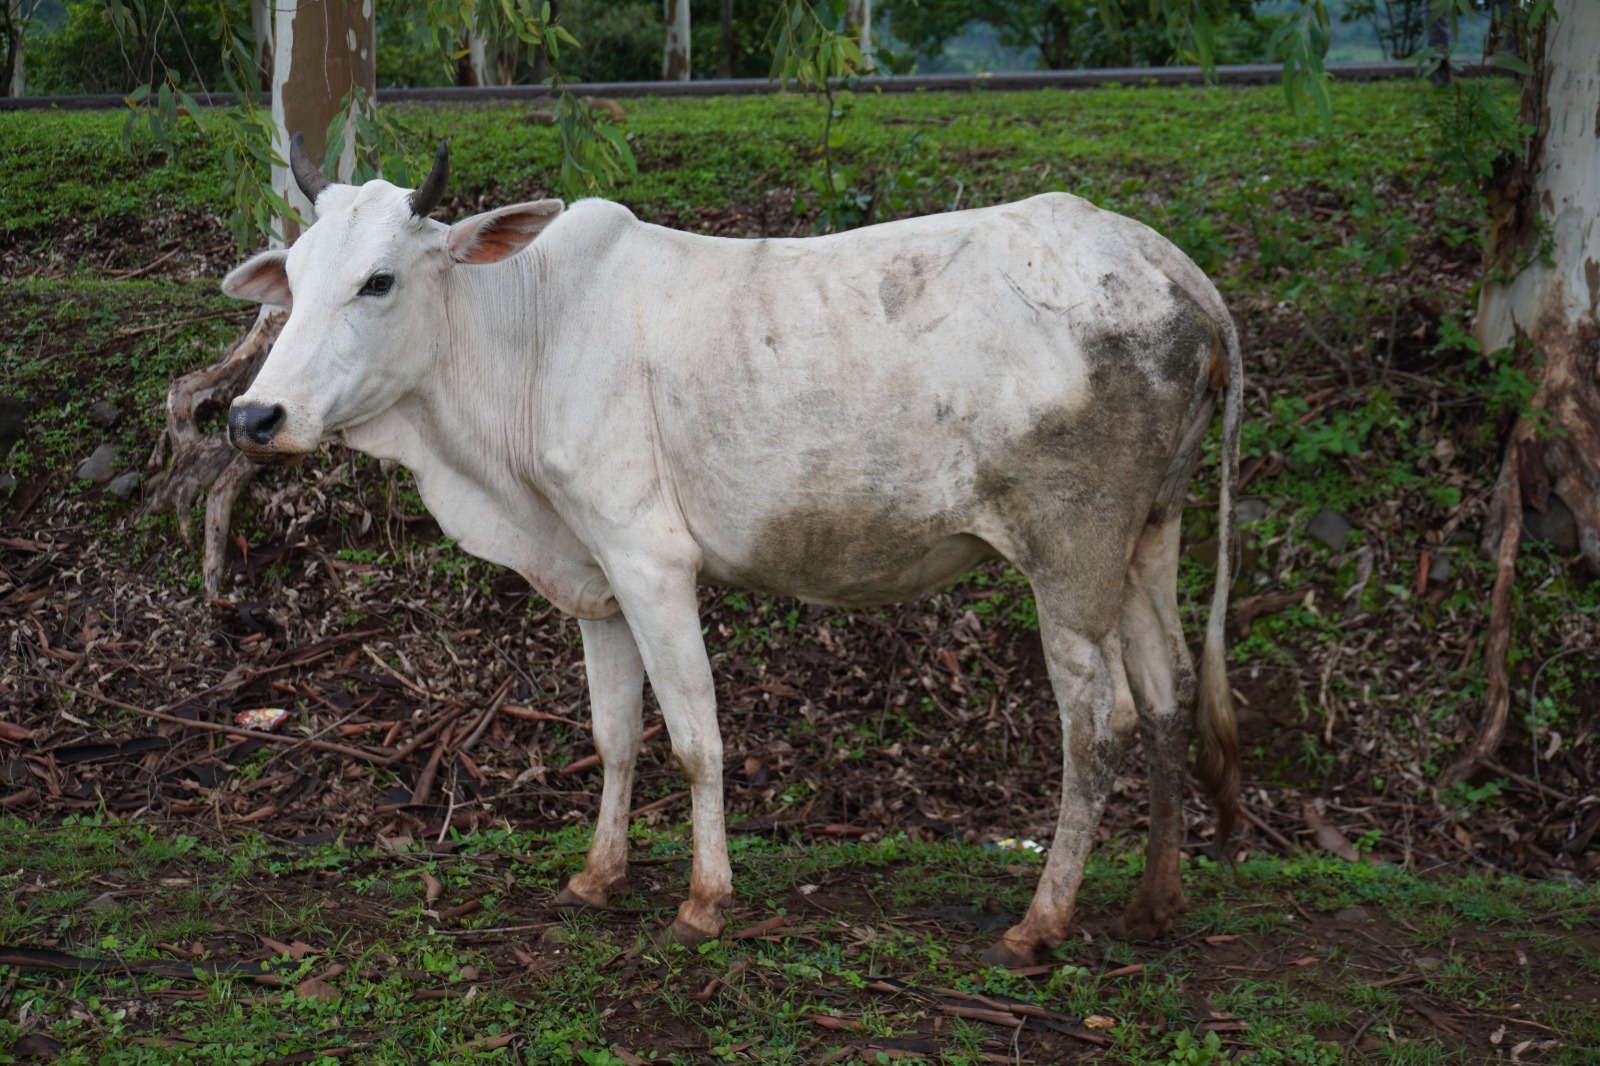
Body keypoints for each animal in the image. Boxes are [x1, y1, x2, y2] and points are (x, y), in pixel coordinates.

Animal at [222, 135, 1242, 967]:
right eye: (296, 279)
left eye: (379, 280)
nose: (253, 416)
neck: (531, 335)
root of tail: (1169, 266)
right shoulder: (598, 574)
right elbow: (614, 733)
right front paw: (597, 877)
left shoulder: (650, 560)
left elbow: (695, 738)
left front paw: (704, 902)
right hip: (1150, 534)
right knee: (1167, 694)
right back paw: (1154, 905)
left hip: (1070, 554)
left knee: (1099, 722)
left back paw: (1040, 923)